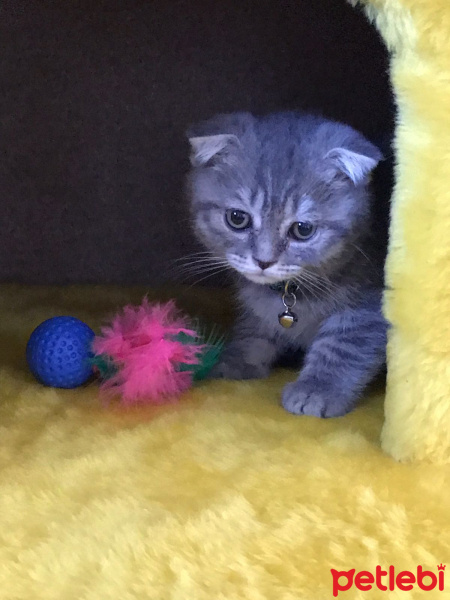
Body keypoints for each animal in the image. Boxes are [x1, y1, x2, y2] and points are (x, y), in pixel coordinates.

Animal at [185, 112, 386, 418]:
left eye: (303, 229)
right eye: (237, 218)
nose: (264, 261)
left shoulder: (369, 308)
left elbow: (342, 345)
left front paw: (318, 388)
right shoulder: (256, 304)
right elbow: (254, 328)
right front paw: (236, 359)